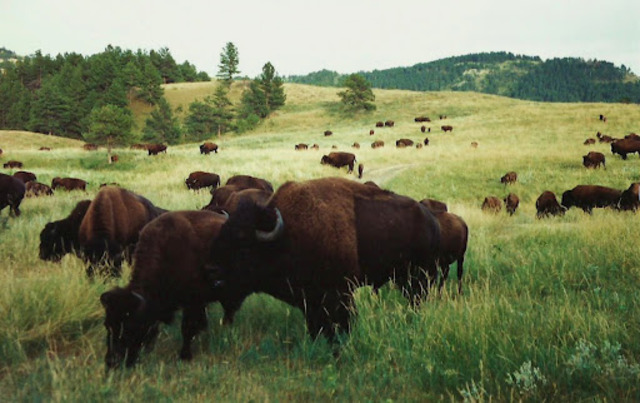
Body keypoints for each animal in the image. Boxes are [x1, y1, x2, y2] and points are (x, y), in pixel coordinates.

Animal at [100, 210, 239, 369]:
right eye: (107, 325)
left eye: (130, 325)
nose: (111, 361)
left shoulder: (193, 303)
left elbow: (188, 328)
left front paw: (185, 356)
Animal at [207, 177, 441, 341]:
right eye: (220, 239)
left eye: (243, 249)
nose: (214, 276)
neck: (285, 236)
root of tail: (431, 221)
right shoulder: (309, 298)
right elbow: (315, 324)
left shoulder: (339, 293)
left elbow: (342, 321)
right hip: (404, 278)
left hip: (418, 277)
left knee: (418, 298)